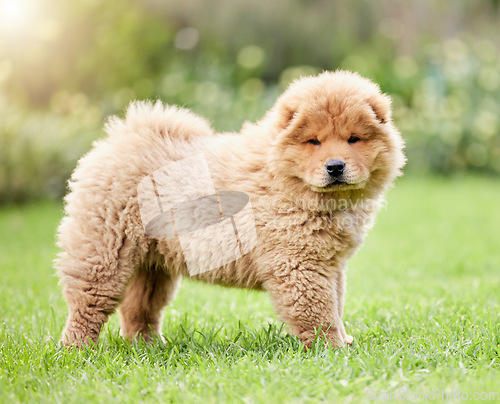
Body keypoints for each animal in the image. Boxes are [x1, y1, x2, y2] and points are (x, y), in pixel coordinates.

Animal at [55, 69, 406, 348]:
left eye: (353, 139)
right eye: (314, 142)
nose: (335, 166)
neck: (284, 180)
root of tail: (119, 138)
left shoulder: (330, 264)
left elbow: (336, 303)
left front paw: (344, 342)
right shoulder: (299, 263)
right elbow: (319, 311)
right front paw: (333, 349)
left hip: (152, 264)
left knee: (139, 309)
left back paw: (149, 346)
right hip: (105, 251)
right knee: (87, 303)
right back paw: (76, 350)